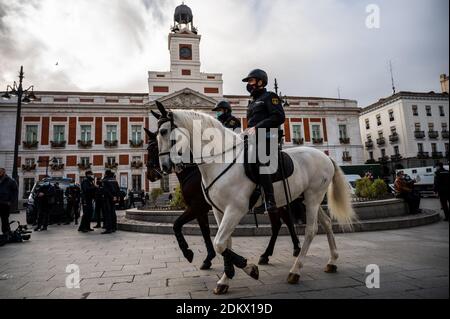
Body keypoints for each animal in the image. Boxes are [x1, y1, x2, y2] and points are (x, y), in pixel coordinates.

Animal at [146, 129, 300, 268]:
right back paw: (284, 250)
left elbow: (177, 224)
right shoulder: (201, 209)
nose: (149, 176)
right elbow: (205, 231)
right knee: (282, 222)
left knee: (282, 222)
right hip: (279, 200)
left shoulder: (197, 206)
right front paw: (209, 258)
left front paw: (190, 253)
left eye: (154, 147)